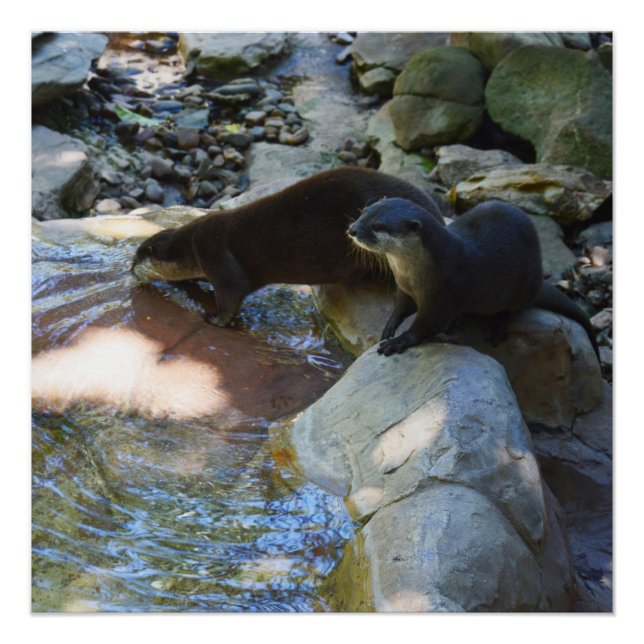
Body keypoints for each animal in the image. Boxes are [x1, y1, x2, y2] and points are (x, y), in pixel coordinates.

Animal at [131, 167, 446, 326]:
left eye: (136, 258)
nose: (130, 270)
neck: (190, 246)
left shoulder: (215, 252)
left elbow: (231, 294)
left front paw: (215, 319)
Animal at [348, 197, 600, 359]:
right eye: (363, 212)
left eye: (378, 226)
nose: (352, 229)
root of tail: (538, 281)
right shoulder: (404, 288)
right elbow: (401, 307)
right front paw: (389, 327)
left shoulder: (443, 295)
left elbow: (425, 326)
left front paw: (399, 341)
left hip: (521, 287)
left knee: (513, 309)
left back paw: (496, 326)